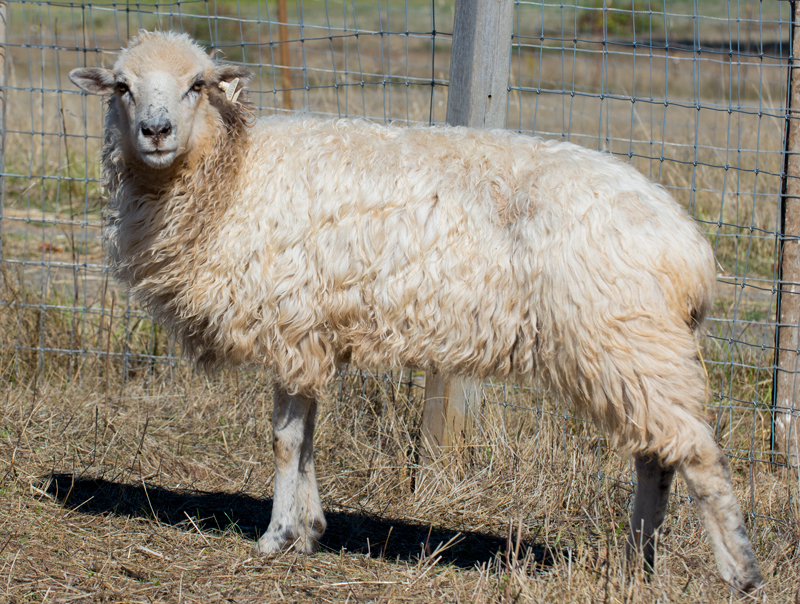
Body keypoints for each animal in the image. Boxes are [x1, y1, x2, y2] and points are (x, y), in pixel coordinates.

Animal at [65, 31, 760, 588]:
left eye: (198, 85)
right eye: (122, 87)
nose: (156, 133)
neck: (231, 174)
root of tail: (690, 247)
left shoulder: (290, 326)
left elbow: (285, 441)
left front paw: (275, 537)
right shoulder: (314, 331)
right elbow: (307, 437)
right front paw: (310, 530)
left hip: (626, 339)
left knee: (694, 453)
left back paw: (738, 570)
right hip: (634, 349)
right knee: (657, 456)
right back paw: (636, 562)